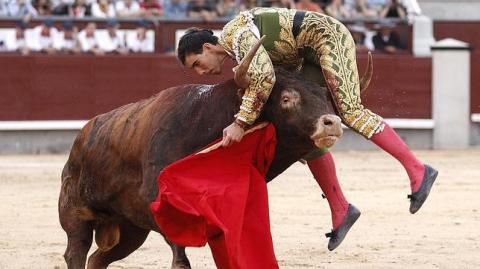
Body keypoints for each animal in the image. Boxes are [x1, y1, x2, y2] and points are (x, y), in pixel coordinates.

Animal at [59, 40, 376, 268]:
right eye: (286, 99)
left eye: (324, 98)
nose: (331, 122)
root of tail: (82, 136)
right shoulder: (164, 209)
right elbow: (180, 259)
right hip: (76, 212)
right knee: (76, 252)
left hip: (130, 230)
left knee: (98, 259)